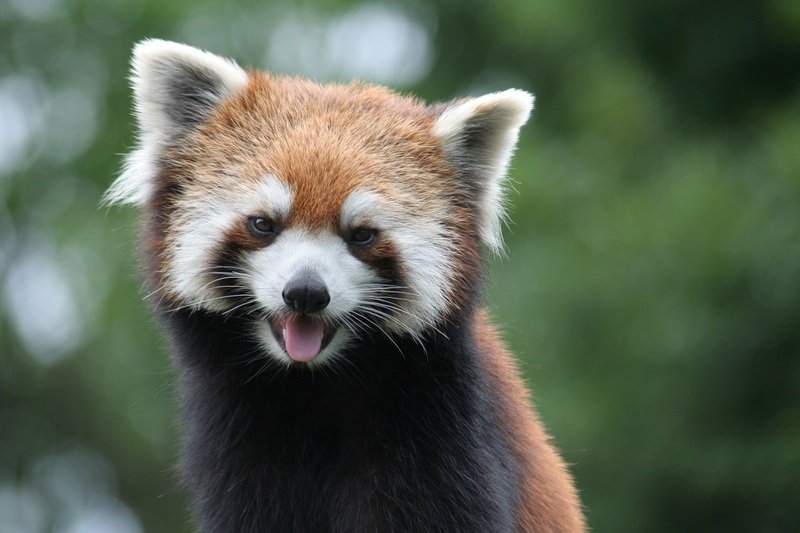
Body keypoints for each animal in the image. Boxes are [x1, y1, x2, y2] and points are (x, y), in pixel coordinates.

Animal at [104, 39, 588, 528]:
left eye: (362, 235)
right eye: (263, 224)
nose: (305, 292)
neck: (315, 387)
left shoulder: (446, 440)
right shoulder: (239, 450)